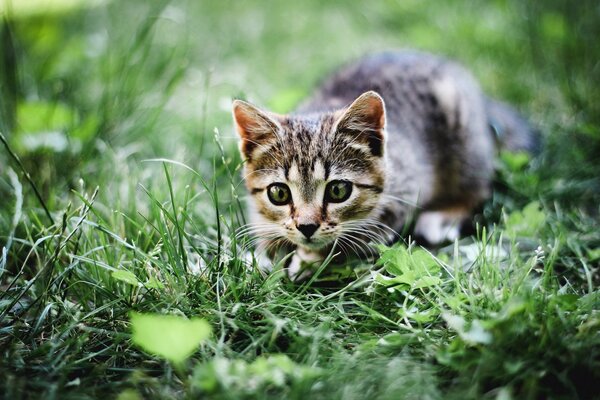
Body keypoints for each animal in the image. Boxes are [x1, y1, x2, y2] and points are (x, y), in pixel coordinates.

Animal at [232, 50, 536, 280]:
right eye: (279, 193)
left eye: (338, 191)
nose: (306, 227)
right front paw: (262, 255)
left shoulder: (403, 196)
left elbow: (353, 239)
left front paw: (308, 260)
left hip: (465, 149)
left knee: (478, 190)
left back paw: (440, 219)